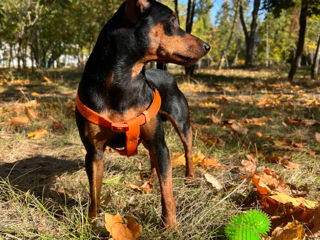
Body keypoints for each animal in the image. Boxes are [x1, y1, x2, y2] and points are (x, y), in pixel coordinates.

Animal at [75, 0, 210, 229]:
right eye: (172, 21)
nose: (207, 46)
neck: (124, 81)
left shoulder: (160, 143)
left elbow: (168, 192)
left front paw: (170, 227)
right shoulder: (94, 153)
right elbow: (94, 194)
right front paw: (91, 224)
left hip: (182, 124)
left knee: (187, 150)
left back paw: (189, 177)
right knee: (155, 161)